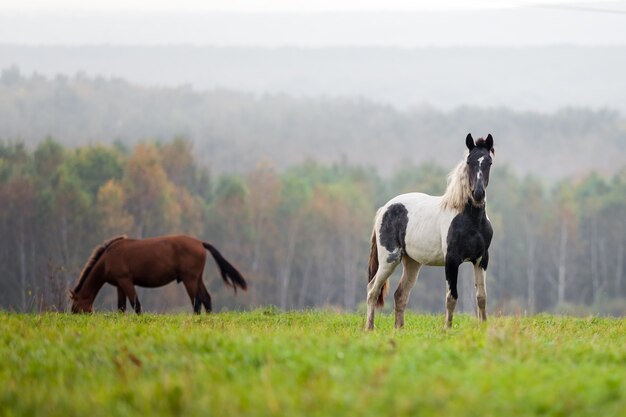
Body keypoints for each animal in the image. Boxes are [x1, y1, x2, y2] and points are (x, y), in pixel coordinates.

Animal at [68, 234, 244, 312]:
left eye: (75, 307)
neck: (108, 258)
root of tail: (200, 243)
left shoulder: (126, 281)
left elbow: (136, 305)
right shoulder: (119, 285)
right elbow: (121, 307)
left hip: (190, 280)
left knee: (197, 301)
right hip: (197, 278)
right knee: (206, 299)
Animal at [366, 133, 492, 328]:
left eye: (489, 162)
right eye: (469, 161)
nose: (478, 194)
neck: (470, 220)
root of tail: (385, 208)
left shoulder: (481, 260)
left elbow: (481, 297)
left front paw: (483, 327)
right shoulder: (452, 260)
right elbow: (451, 297)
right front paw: (447, 328)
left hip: (411, 263)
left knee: (400, 295)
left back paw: (399, 330)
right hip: (389, 259)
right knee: (373, 290)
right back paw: (369, 329)